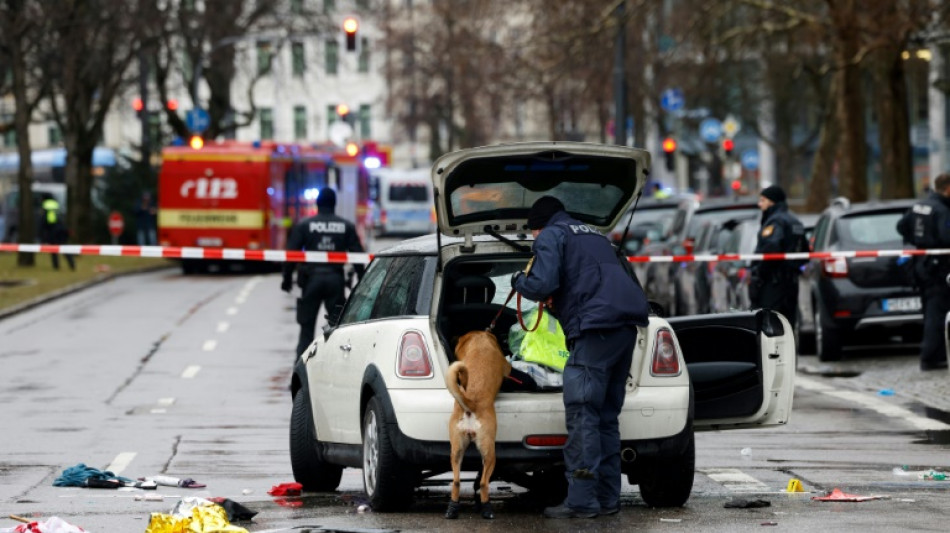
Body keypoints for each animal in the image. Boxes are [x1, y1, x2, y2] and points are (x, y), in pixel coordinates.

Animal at [446, 330, 512, 516]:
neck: (479, 339)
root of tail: (471, 405)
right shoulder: (506, 367)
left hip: (456, 451)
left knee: (456, 482)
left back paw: (452, 508)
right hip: (489, 453)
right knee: (483, 483)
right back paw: (487, 509)